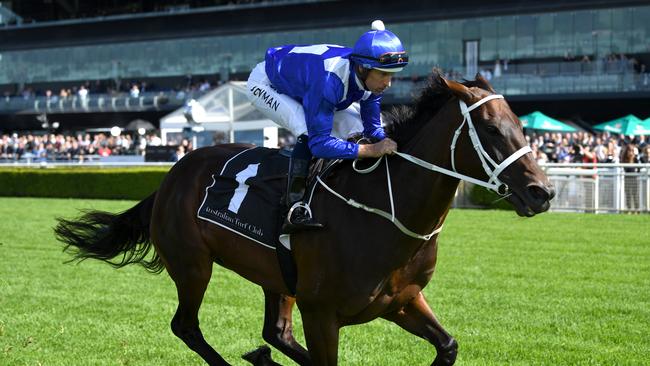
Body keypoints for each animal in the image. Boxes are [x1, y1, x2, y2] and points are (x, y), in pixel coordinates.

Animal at [54, 70, 552, 364]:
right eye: (491, 129)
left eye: (522, 126)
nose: (542, 192)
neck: (384, 214)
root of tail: (172, 175)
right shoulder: (322, 313)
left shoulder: (401, 300)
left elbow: (447, 345)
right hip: (193, 265)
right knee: (186, 326)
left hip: (277, 276)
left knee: (274, 333)